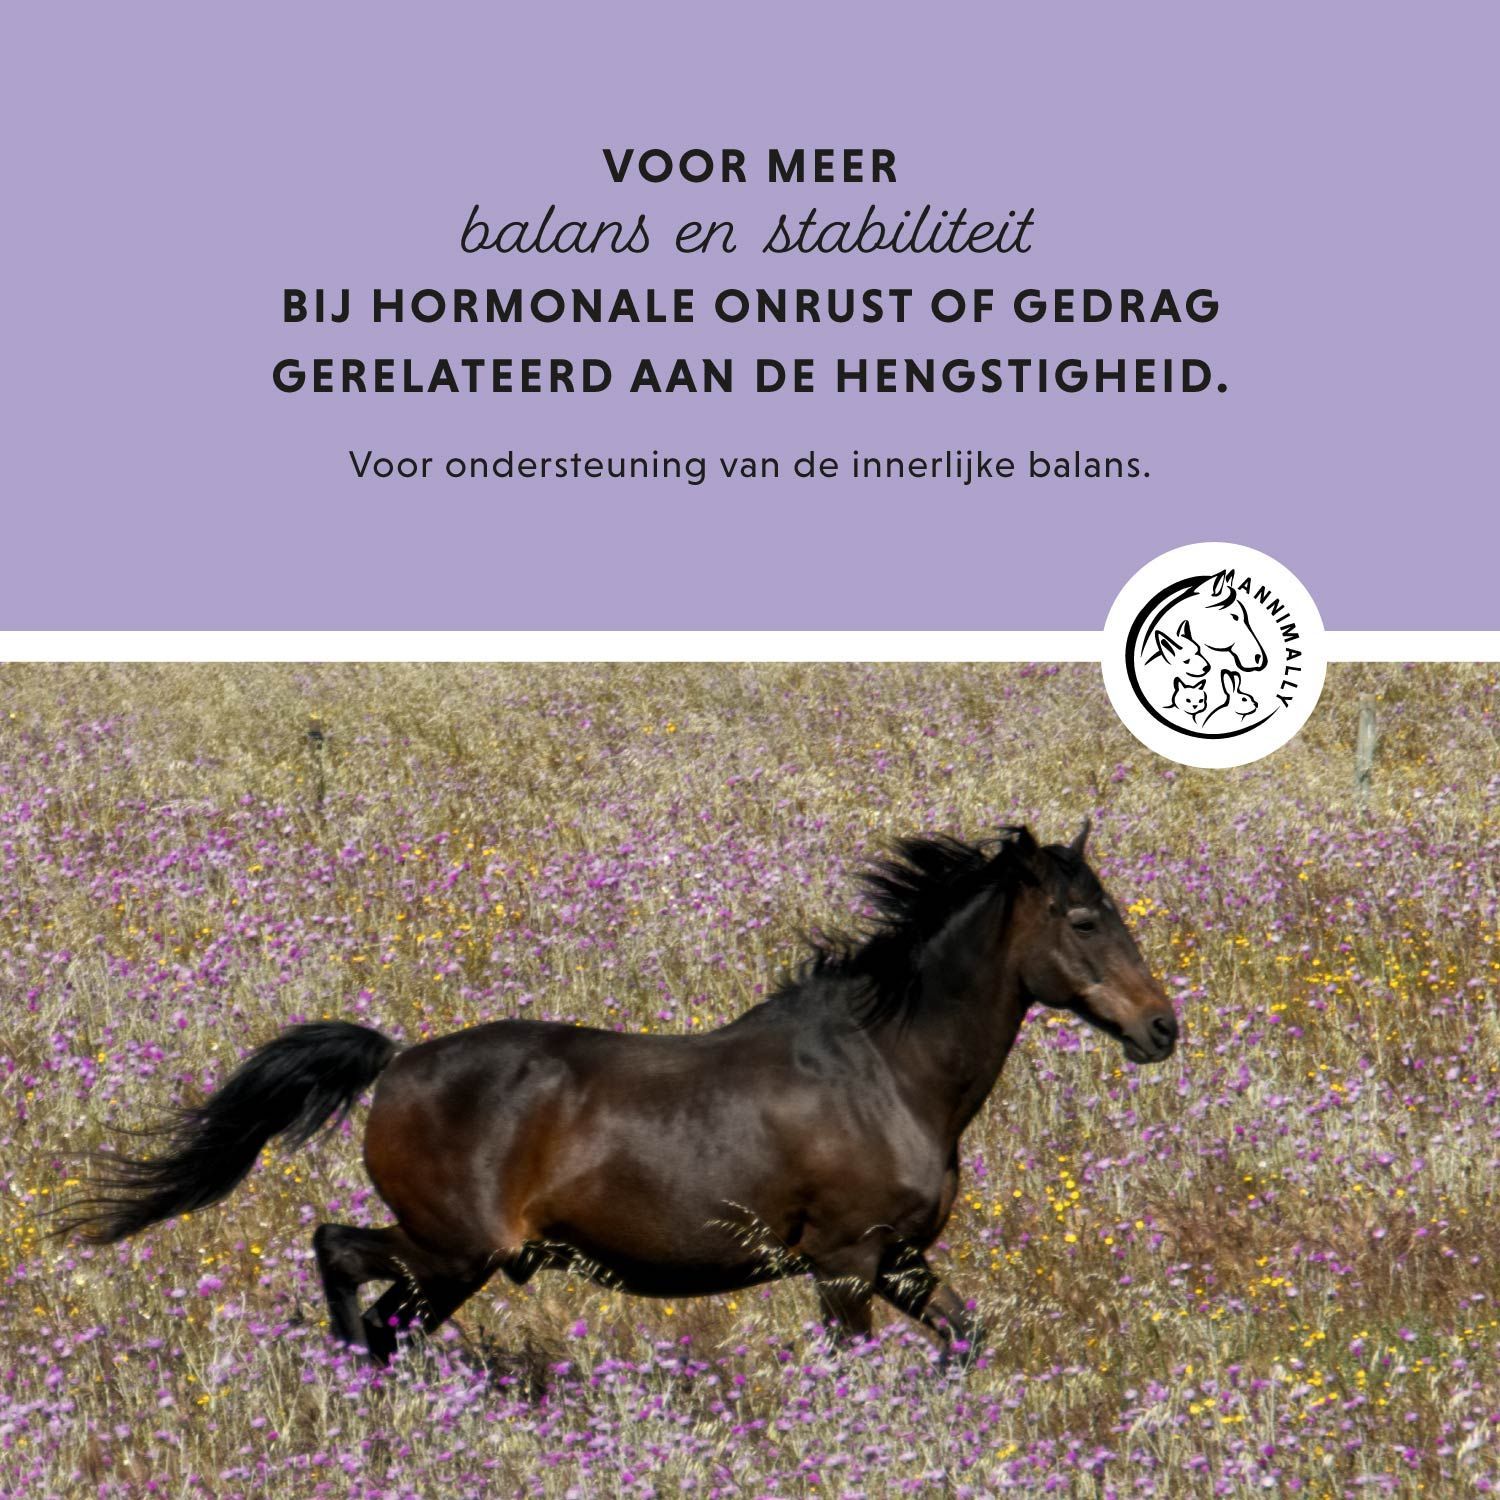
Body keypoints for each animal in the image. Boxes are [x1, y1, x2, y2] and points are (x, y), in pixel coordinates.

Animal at [58, 820, 1179, 1367]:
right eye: (1085, 920)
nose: (1163, 1029)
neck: (887, 1072)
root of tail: (398, 1062)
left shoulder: (902, 1262)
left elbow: (966, 1344)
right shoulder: (846, 1265)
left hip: (456, 1264)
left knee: (385, 1318)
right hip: (456, 1248)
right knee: (341, 1257)